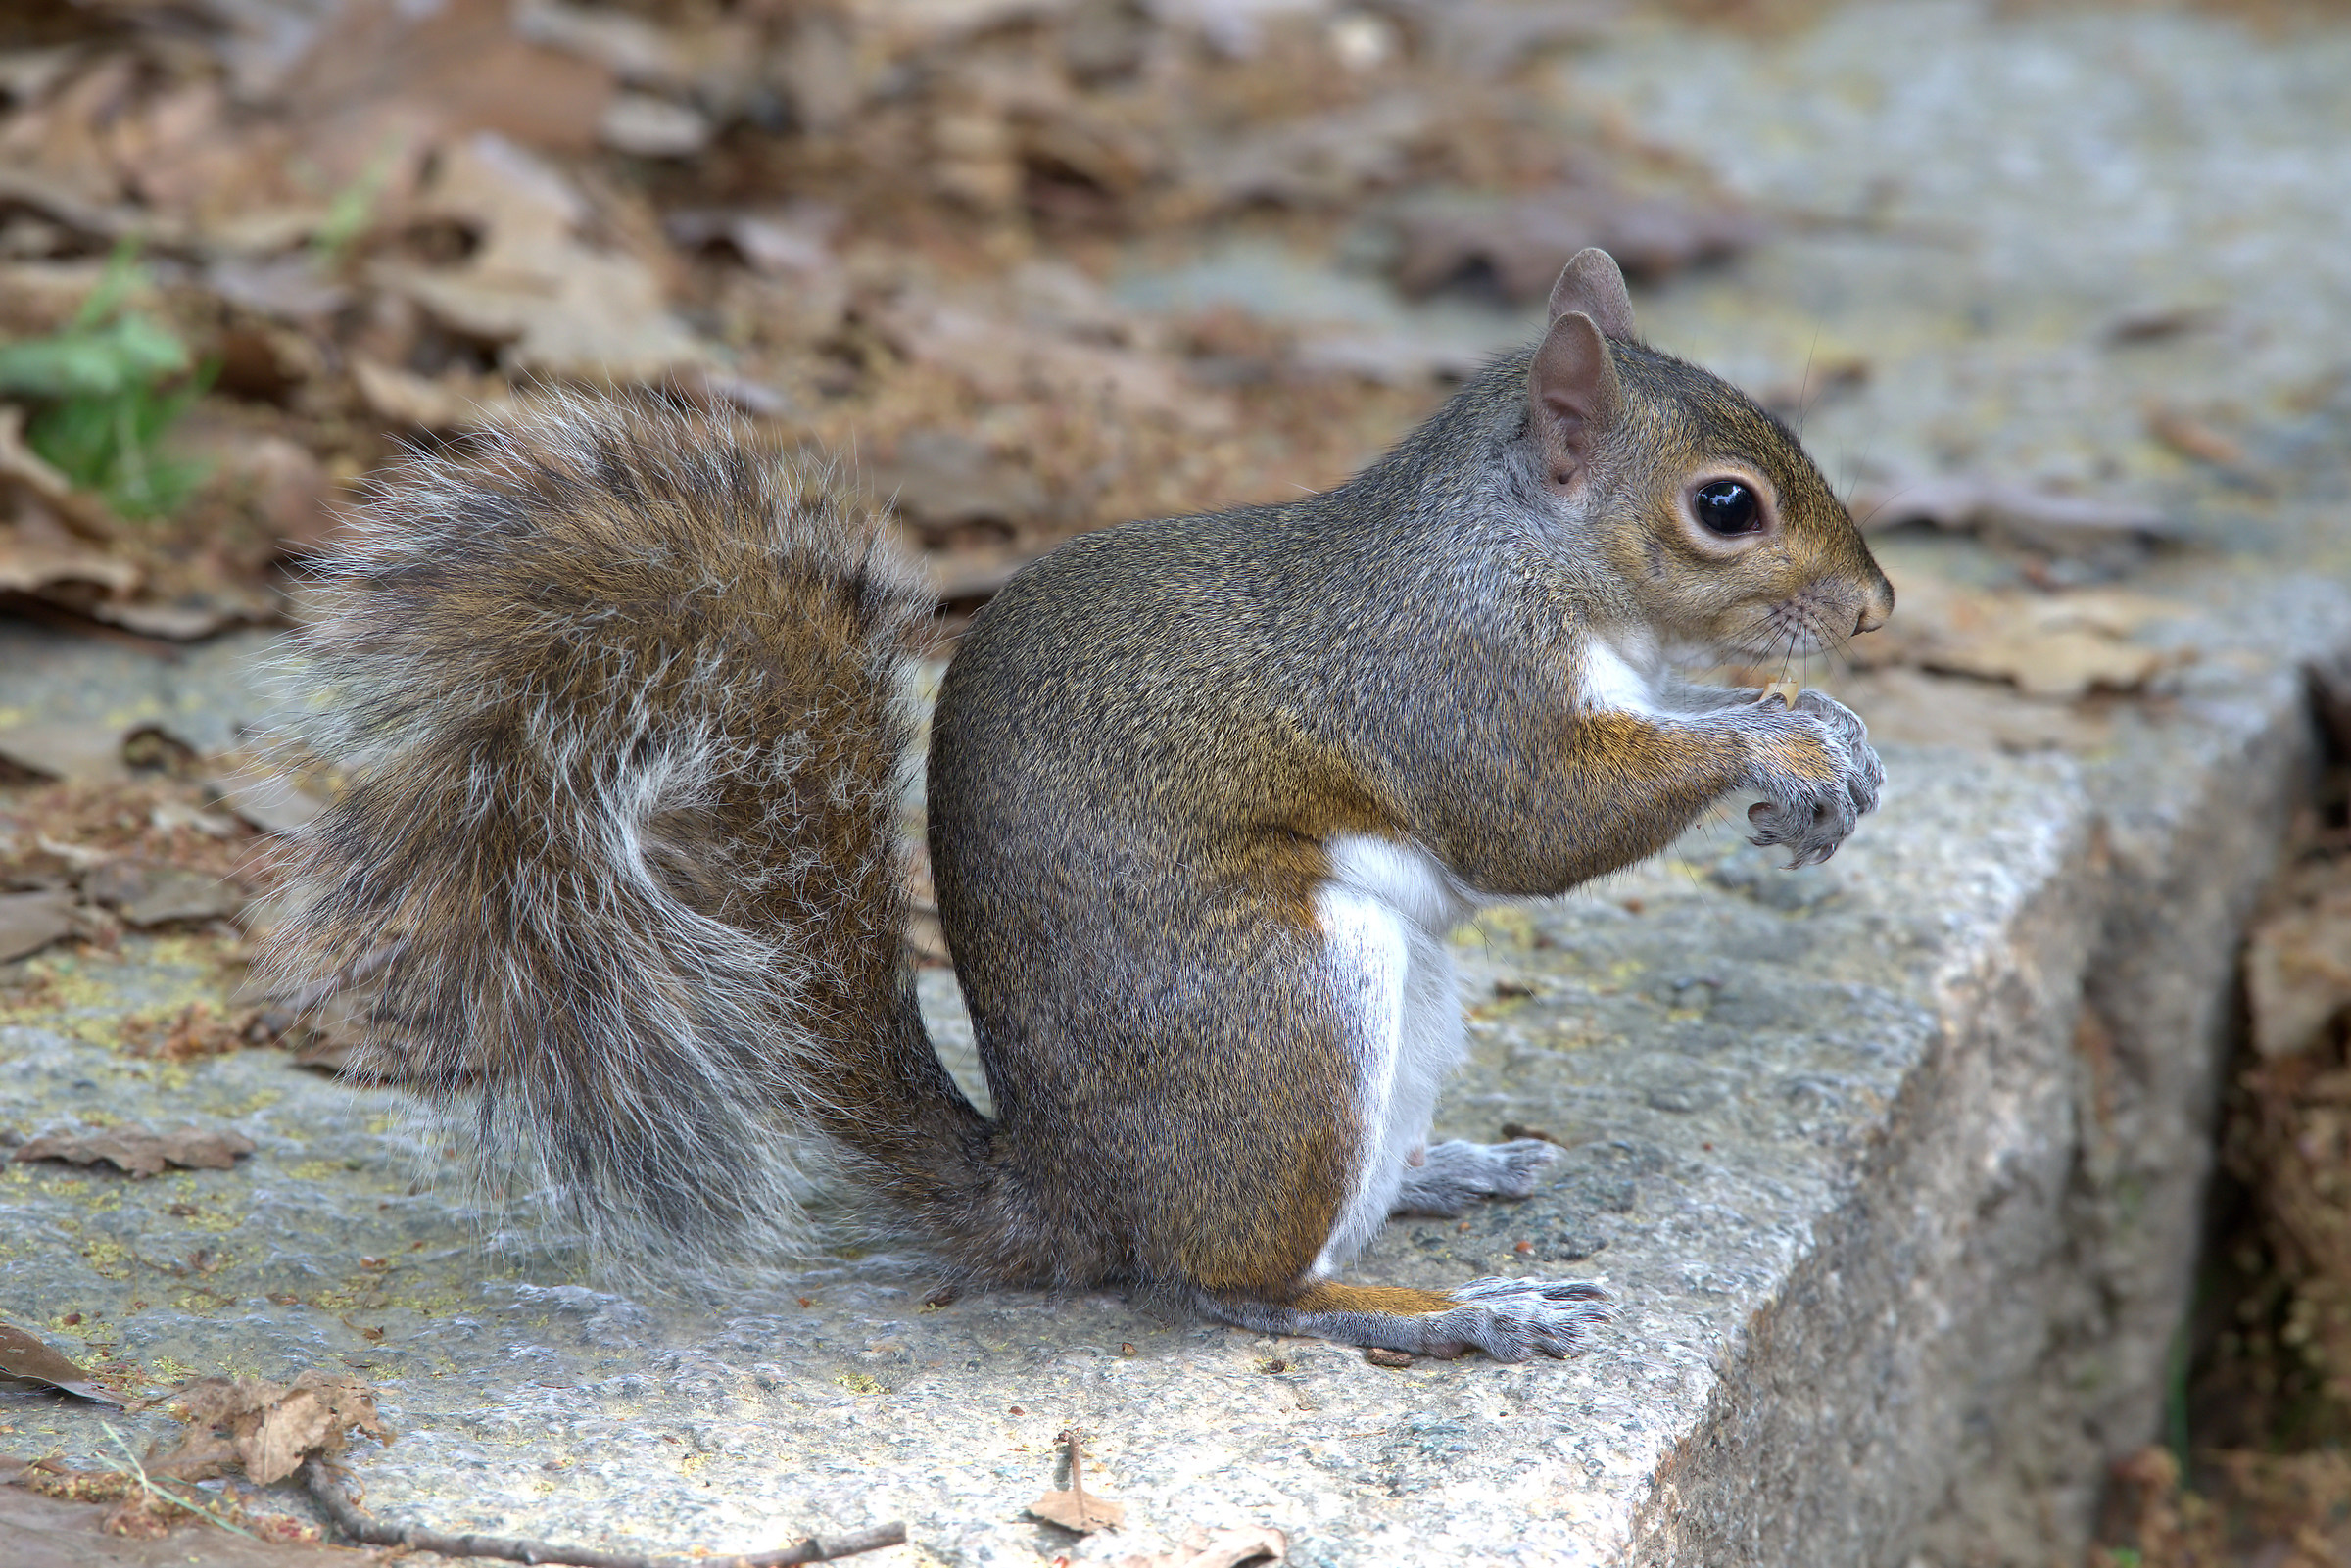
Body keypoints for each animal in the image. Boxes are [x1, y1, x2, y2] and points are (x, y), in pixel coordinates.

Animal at [261, 248, 1892, 1364]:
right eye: (1726, 506)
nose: (1877, 609)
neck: (1527, 555)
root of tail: (1059, 1190)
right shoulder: (1444, 676)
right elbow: (1536, 820)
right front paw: (1778, 746)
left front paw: (1824, 732)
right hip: (1290, 1012)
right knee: (1233, 1288)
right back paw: (1451, 1311)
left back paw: (1448, 1174)